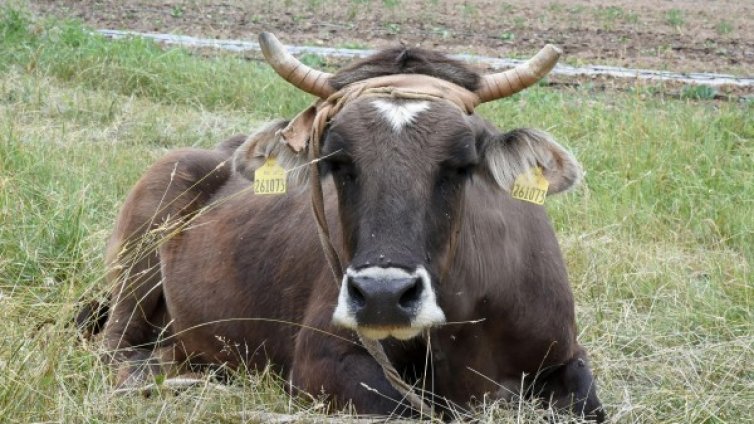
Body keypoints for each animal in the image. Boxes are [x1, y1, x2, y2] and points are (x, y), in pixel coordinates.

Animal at [79, 32, 604, 420]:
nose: (382, 296)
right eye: (337, 161)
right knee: (118, 353)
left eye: (461, 164)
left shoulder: (564, 353)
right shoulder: (321, 361)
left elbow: (587, 402)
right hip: (139, 257)